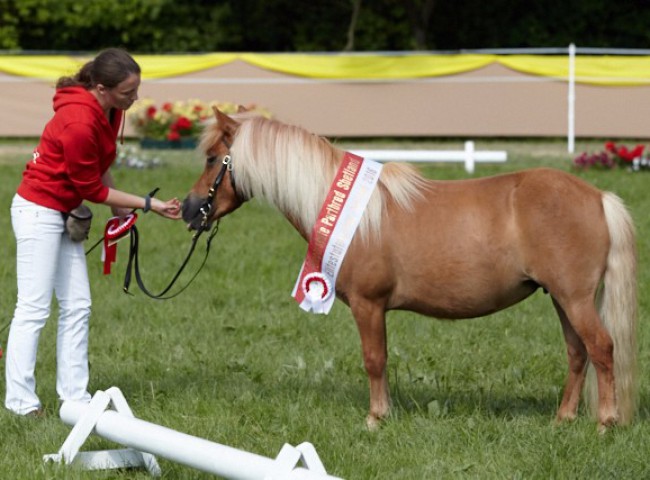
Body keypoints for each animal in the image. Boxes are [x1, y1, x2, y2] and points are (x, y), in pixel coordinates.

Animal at [182, 108, 638, 432]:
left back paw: (605, 423)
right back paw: (563, 419)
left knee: (601, 348)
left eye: (212, 159)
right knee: (578, 352)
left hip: (574, 298)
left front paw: (376, 418)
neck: (354, 215)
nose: (188, 210)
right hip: (562, 299)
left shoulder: (368, 305)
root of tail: (597, 197)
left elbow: (374, 359)